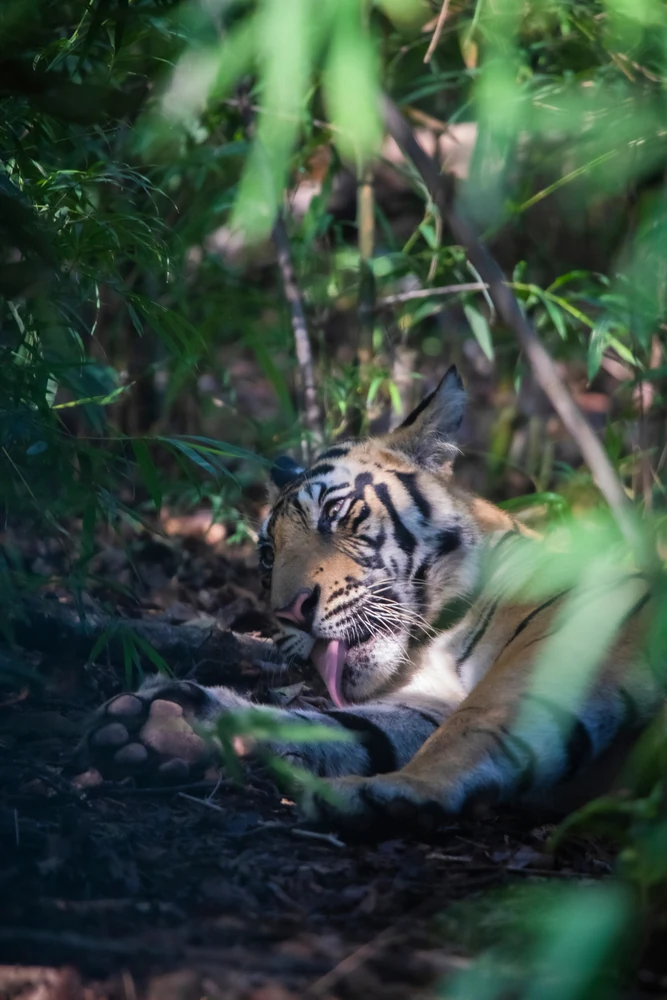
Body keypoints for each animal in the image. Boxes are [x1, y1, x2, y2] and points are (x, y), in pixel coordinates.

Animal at [79, 366, 662, 828]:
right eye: (267, 556)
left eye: (334, 514)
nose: (289, 612)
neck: (434, 643)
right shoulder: (424, 703)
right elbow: (341, 725)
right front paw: (166, 724)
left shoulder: (571, 638)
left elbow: (474, 722)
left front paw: (392, 792)